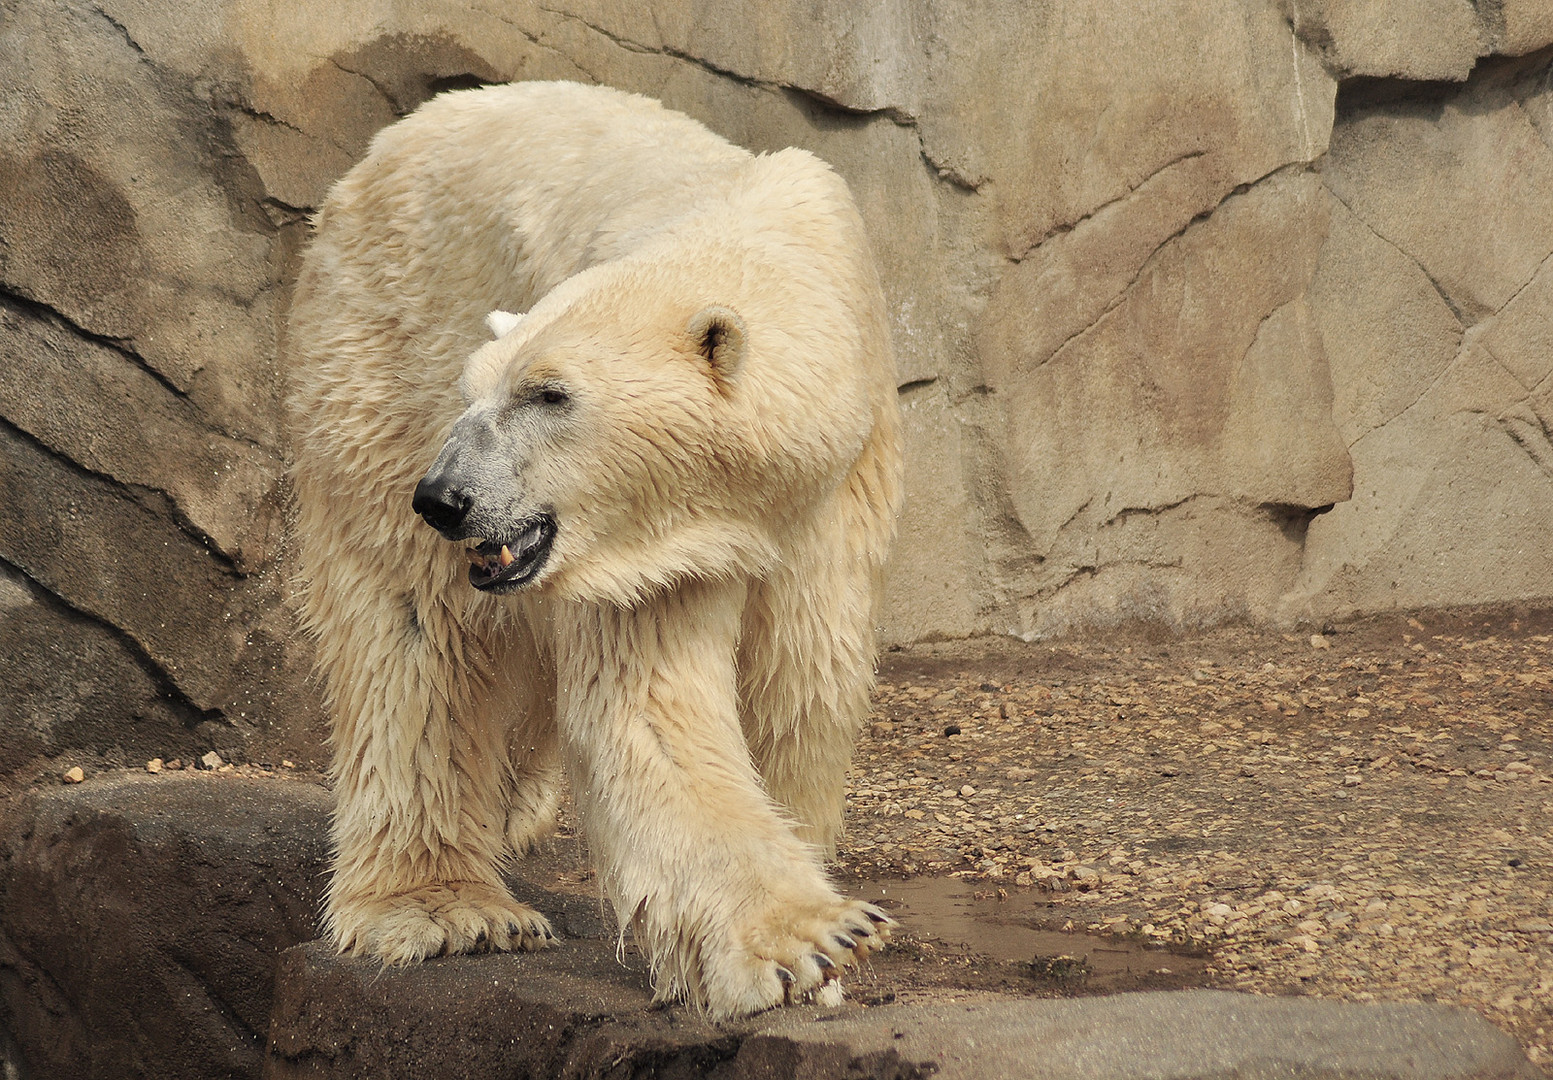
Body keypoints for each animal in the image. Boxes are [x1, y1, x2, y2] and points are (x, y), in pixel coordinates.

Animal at [285, 80, 906, 1019]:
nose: (446, 498)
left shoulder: (833, 490)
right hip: (378, 360)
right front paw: (810, 942)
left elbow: (805, 680)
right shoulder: (643, 548)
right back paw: (445, 909)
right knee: (411, 636)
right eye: (476, 393)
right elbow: (649, 704)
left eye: (550, 394)